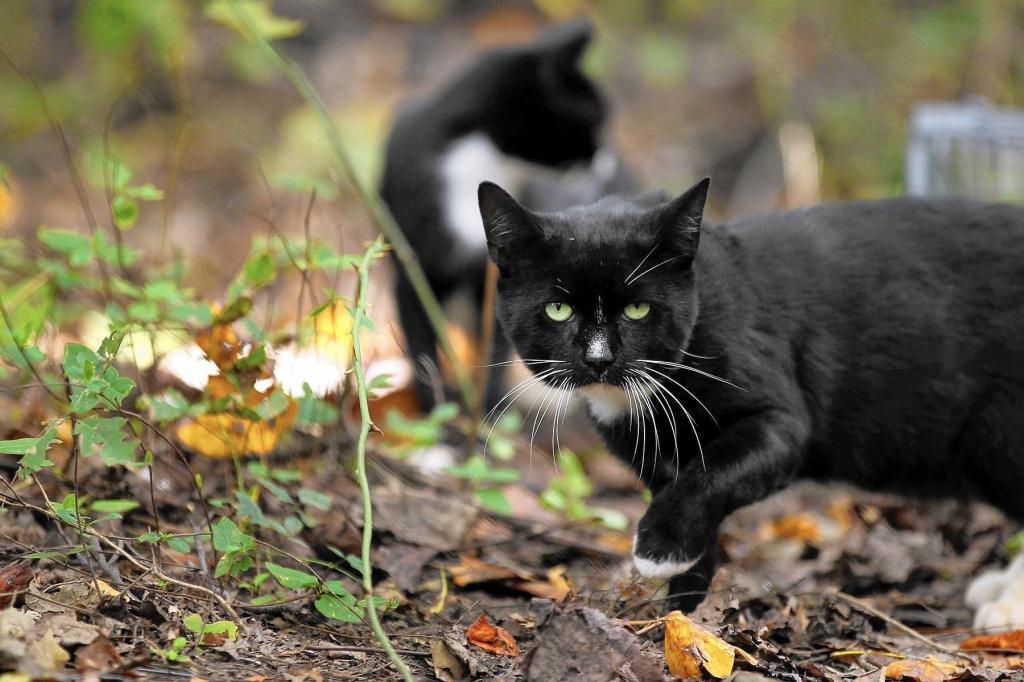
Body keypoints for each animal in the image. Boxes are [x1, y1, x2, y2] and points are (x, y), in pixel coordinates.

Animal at [475, 178, 1024, 606]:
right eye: (558, 310)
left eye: (638, 309)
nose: (599, 359)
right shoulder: (657, 460)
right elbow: (694, 519)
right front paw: (679, 618)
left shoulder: (780, 419)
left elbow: (711, 474)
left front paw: (658, 550)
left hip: (1001, 436)